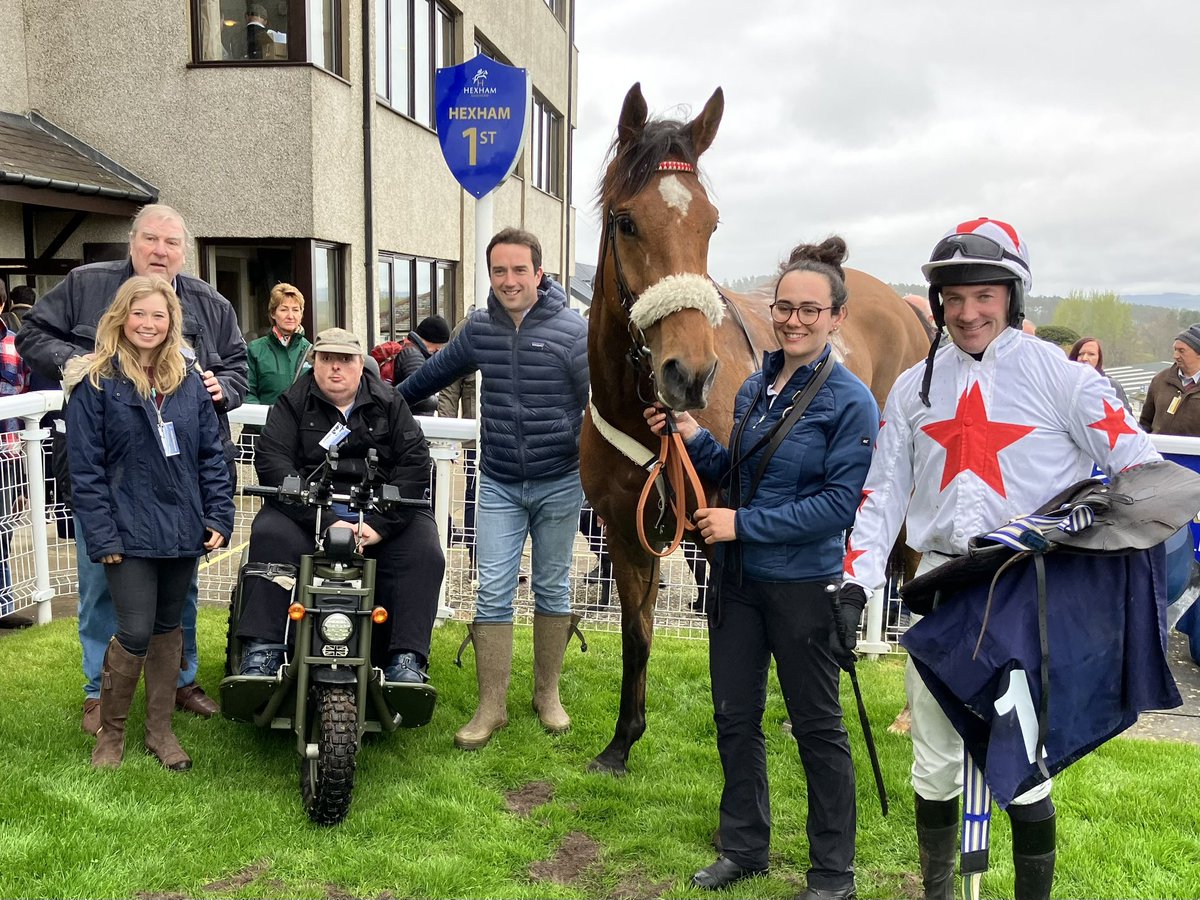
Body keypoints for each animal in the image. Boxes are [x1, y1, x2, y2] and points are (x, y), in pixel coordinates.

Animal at [580, 82, 926, 777]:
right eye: (626, 221)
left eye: (709, 223)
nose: (688, 373)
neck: (646, 422)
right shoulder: (628, 532)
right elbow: (637, 635)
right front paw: (622, 741)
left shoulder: (721, 535)